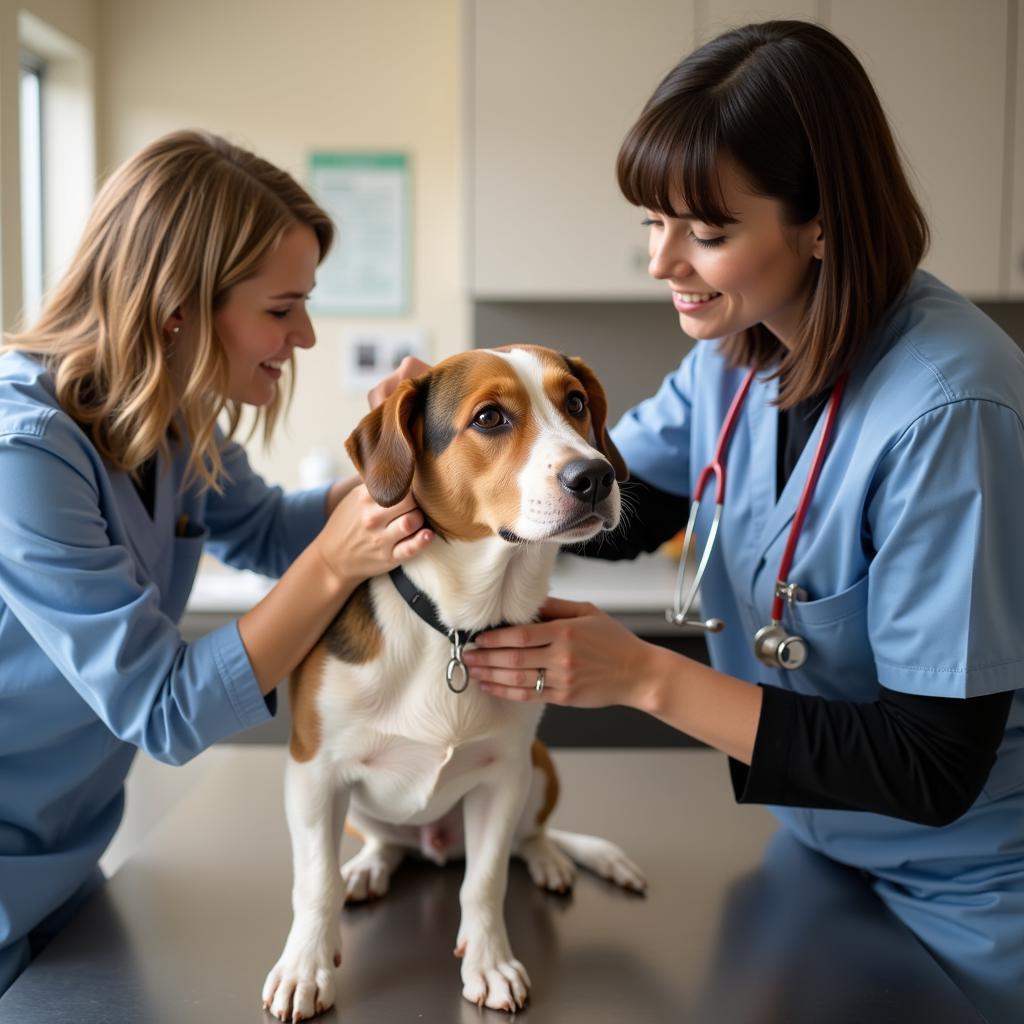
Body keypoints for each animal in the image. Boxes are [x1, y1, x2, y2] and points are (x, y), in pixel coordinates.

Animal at [260, 348, 643, 1019]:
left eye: (575, 403)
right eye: (489, 417)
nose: (595, 477)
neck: (456, 628)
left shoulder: (504, 774)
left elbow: (485, 882)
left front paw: (489, 962)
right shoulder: (312, 772)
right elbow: (315, 882)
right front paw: (306, 965)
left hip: (540, 766)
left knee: (530, 835)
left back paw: (547, 857)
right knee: (383, 845)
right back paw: (370, 866)